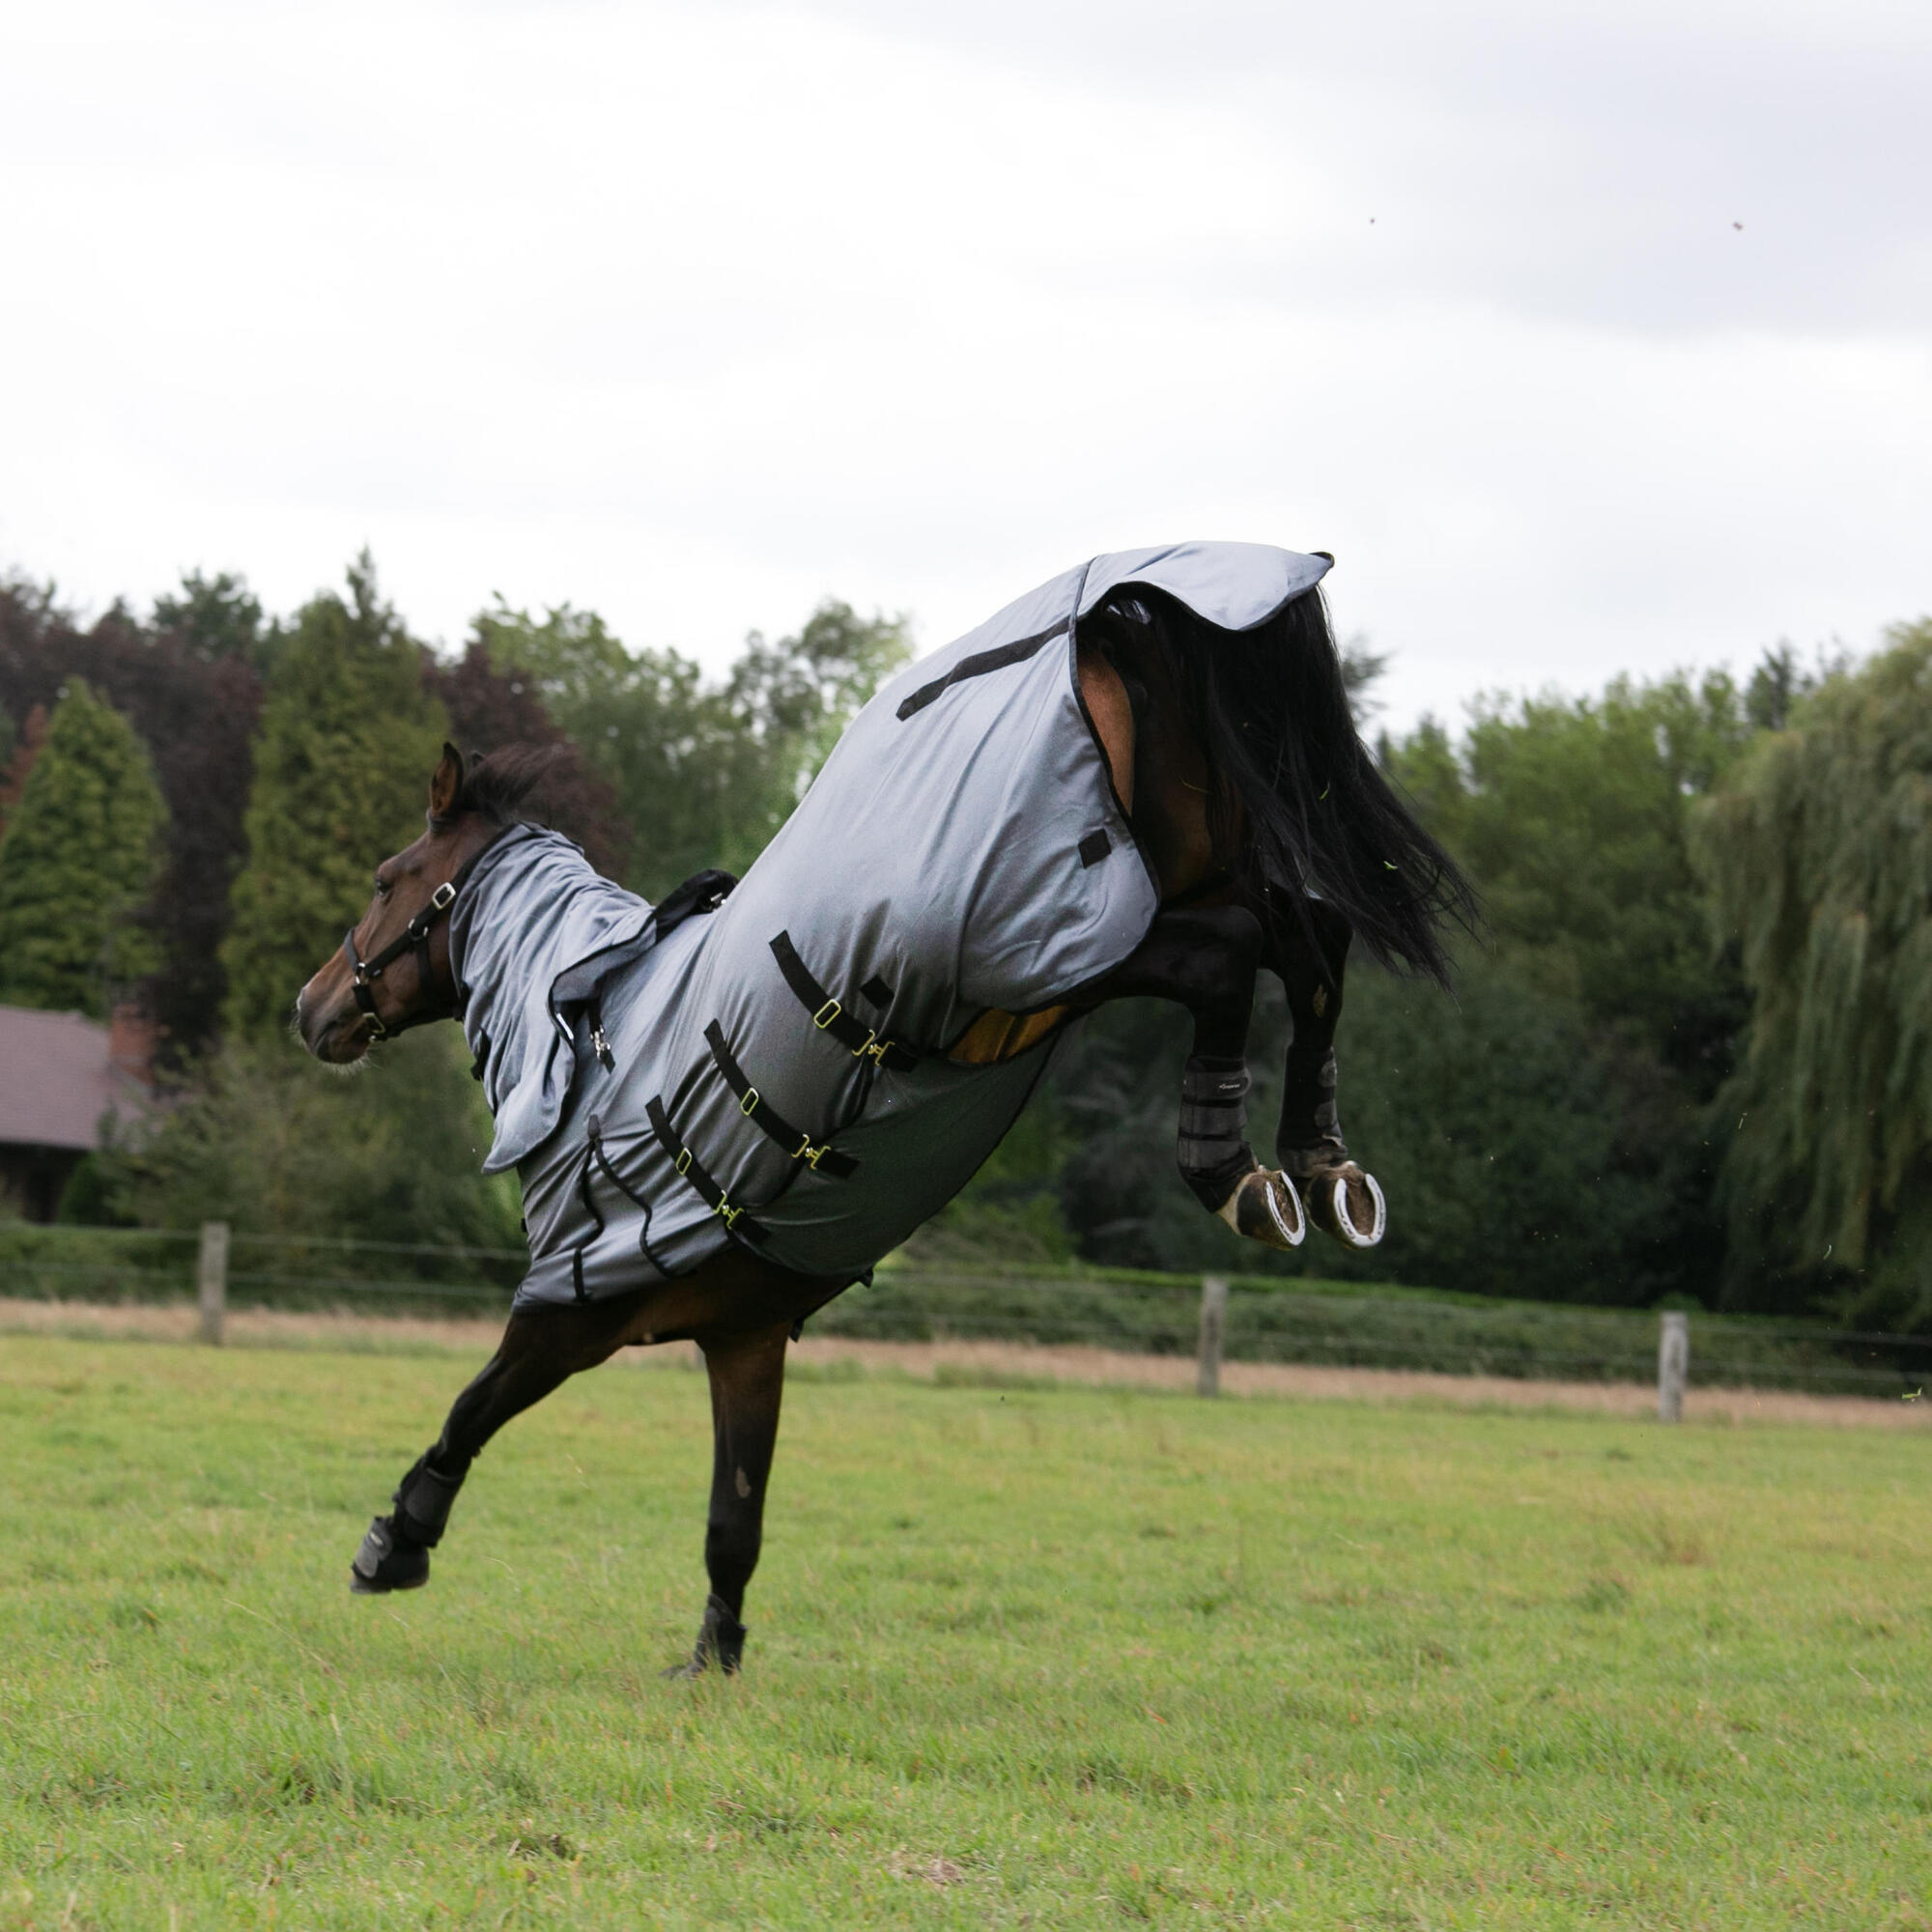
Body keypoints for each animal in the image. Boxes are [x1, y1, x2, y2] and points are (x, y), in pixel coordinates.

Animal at [294, 541, 1461, 1677]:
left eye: (390, 876)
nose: (312, 1009)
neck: (592, 1022)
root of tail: (1112, 616)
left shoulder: (573, 1307)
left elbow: (470, 1407)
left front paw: (394, 1540)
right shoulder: (745, 1334)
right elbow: (735, 1516)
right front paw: (711, 1661)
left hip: (1073, 949)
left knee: (1240, 956)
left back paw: (1233, 1169)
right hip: (1188, 874)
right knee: (1306, 936)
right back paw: (1319, 1165)